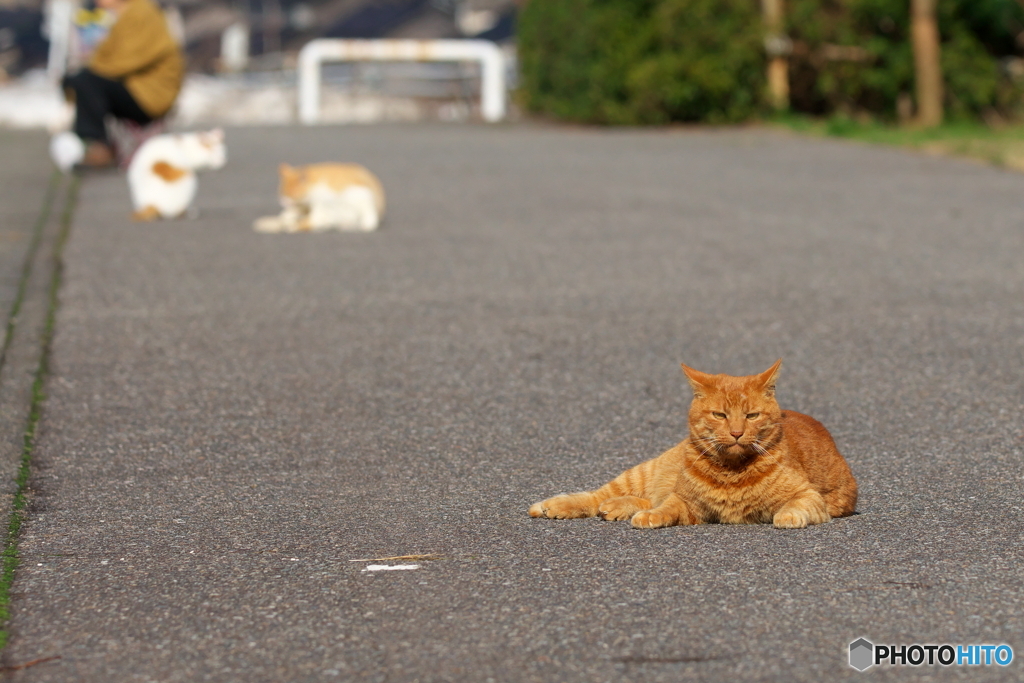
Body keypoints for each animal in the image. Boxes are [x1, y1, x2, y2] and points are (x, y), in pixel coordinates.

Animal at [528, 360, 856, 532]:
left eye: (751, 416)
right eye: (720, 415)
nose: (737, 433)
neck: (731, 472)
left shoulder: (810, 496)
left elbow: (795, 506)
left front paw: (787, 516)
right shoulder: (687, 503)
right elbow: (667, 506)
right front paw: (650, 517)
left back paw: (616, 508)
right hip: (642, 473)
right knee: (598, 496)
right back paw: (554, 506)